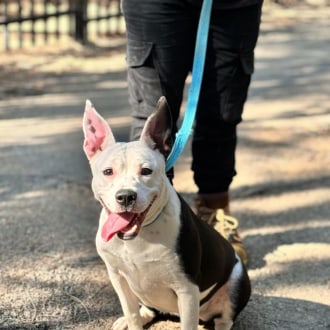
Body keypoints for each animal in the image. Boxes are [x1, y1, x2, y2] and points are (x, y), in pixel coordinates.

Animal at [82, 97, 250, 330]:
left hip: (237, 280)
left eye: (146, 171)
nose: (125, 196)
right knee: (148, 309)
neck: (140, 235)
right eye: (108, 172)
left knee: (225, 318)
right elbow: (132, 314)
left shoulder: (187, 289)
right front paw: (131, 320)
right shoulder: (118, 278)